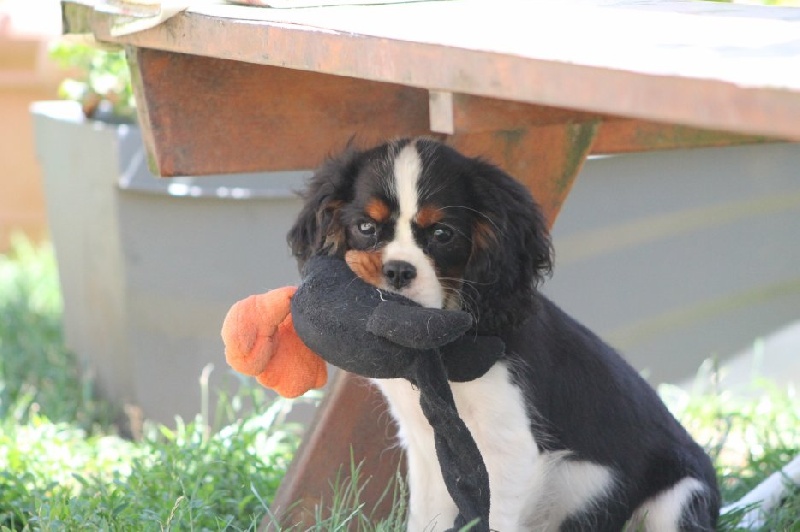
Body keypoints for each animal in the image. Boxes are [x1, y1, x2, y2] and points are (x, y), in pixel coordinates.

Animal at [290, 138, 720, 532]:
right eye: (366, 227)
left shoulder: (506, 450)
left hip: (679, 496)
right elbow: (426, 518)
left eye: (443, 234)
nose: (397, 270)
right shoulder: (427, 448)